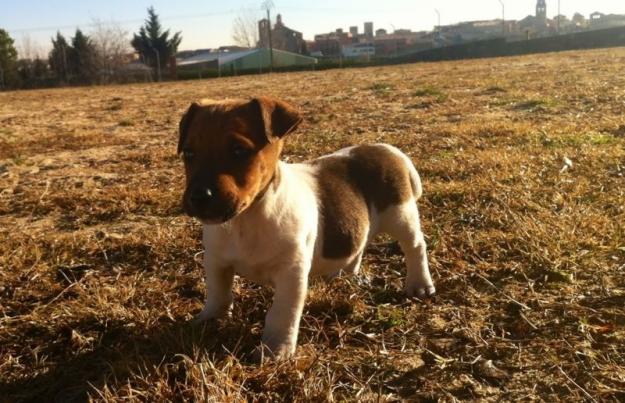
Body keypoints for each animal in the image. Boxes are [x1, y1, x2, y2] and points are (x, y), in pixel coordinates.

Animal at [178, 97, 434, 360]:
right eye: (188, 153)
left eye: (239, 151)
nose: (198, 196)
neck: (247, 218)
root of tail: (387, 149)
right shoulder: (216, 262)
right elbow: (217, 293)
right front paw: (209, 319)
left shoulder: (291, 274)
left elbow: (281, 314)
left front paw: (276, 349)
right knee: (358, 245)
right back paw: (343, 275)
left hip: (400, 215)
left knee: (415, 247)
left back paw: (419, 284)